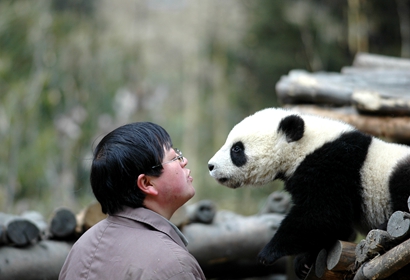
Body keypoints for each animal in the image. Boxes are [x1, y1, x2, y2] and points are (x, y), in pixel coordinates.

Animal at [208, 107, 410, 278]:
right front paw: (304, 261)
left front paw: (268, 253)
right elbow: (334, 224)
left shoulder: (332, 165)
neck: (305, 145)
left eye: (236, 149)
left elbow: (323, 214)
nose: (211, 166)